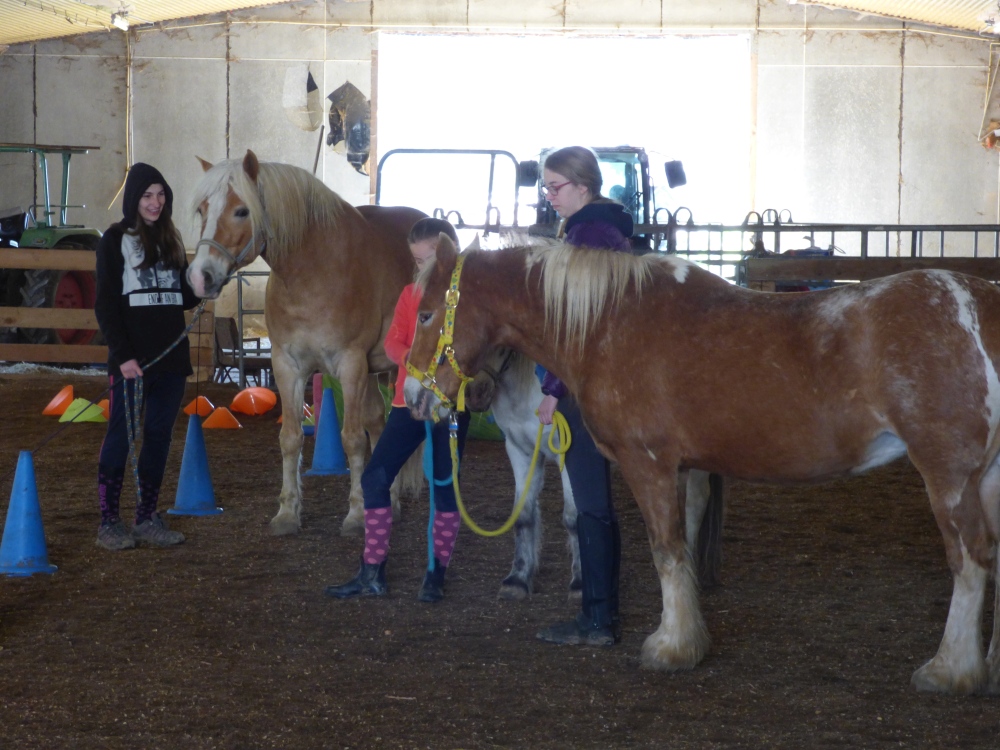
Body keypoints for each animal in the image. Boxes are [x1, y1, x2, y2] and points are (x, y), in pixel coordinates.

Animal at [186, 150, 426, 536]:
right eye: (203, 209)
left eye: (241, 211)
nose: (199, 276)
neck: (315, 272)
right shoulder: (287, 366)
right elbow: (291, 438)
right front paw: (287, 513)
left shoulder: (351, 365)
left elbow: (352, 439)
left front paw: (356, 515)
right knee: (379, 423)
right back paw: (387, 501)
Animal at [482, 347, 725, 600]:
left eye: (500, 349)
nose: (474, 395)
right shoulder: (520, 450)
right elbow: (523, 515)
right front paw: (517, 579)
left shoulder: (567, 455)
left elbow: (573, 517)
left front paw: (580, 583)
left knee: (696, 502)